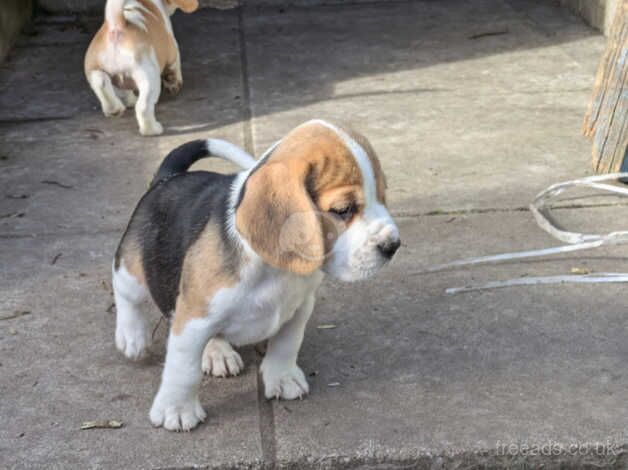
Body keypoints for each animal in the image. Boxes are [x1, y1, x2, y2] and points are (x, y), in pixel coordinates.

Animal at [83, 0, 196, 136]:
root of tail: (117, 26)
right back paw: (152, 129)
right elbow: (174, 70)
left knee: (102, 85)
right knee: (143, 107)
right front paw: (174, 83)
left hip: (95, 71)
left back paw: (115, 109)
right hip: (149, 79)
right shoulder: (173, 51)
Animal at [111, 120, 400, 430]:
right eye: (343, 210)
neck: (274, 270)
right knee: (126, 293)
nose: (393, 245)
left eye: (383, 195)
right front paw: (176, 409)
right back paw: (133, 336)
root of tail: (169, 177)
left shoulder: (300, 307)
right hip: (133, 270)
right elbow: (183, 368)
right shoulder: (193, 319)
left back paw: (217, 352)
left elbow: (287, 344)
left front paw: (282, 378)